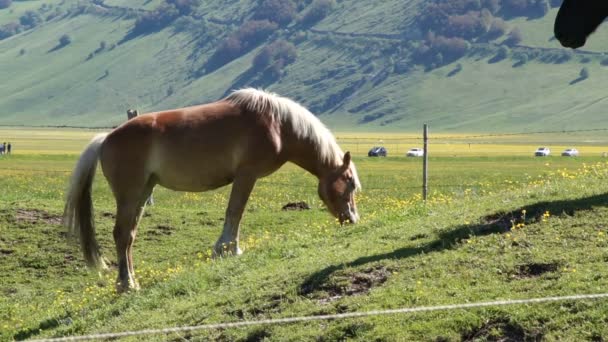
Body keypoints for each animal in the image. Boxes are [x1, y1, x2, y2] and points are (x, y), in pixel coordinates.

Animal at [63, 88, 360, 292]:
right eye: (350, 182)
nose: (352, 219)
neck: (278, 124)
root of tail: (106, 138)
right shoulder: (246, 175)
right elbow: (235, 211)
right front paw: (229, 249)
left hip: (141, 195)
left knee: (129, 237)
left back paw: (131, 281)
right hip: (130, 195)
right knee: (122, 235)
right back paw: (127, 284)